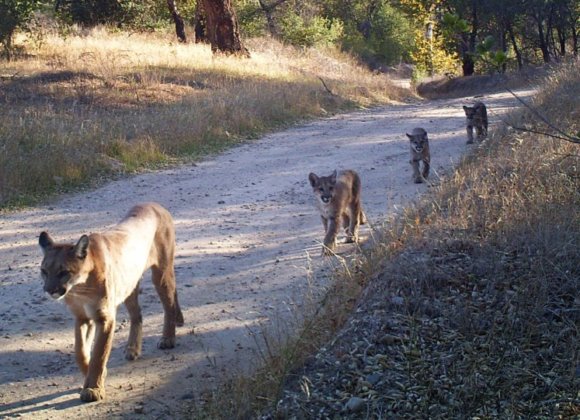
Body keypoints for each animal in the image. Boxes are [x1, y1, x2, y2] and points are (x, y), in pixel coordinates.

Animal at [38, 202, 182, 402]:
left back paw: (167, 339)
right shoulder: (83, 317)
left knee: (168, 305)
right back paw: (132, 349)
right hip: (129, 285)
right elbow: (80, 351)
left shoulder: (104, 318)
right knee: (137, 315)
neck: (80, 288)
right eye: (44, 271)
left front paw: (93, 388)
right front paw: (95, 376)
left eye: (63, 272)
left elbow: (99, 353)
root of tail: (154, 204)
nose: (49, 290)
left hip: (161, 273)